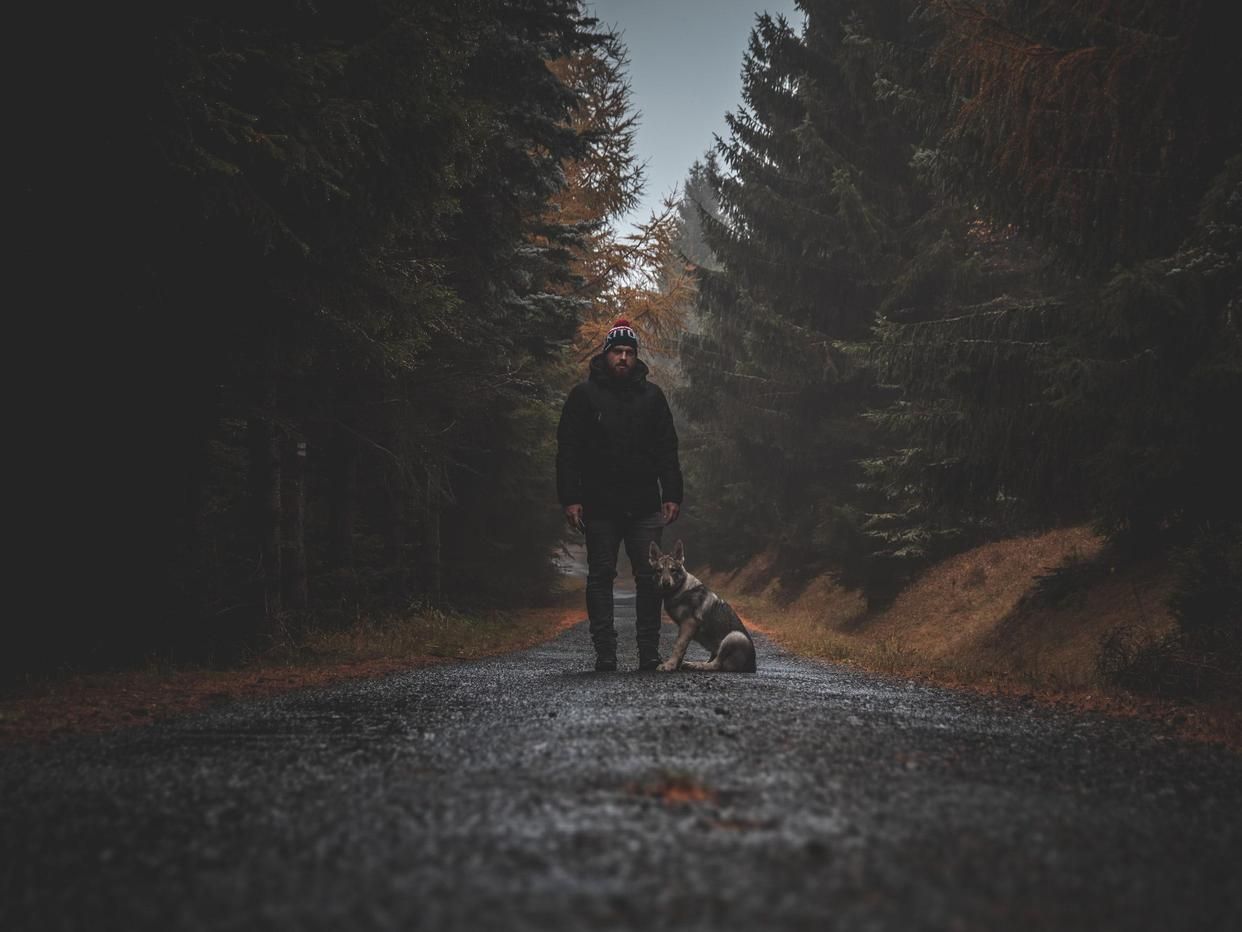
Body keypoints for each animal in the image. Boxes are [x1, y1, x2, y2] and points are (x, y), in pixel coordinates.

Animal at [650, 539, 755, 680]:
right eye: (659, 571)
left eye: (673, 570)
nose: (665, 583)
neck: (680, 590)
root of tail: (753, 666)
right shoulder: (685, 628)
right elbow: (682, 649)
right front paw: (676, 665)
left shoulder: (688, 623)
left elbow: (678, 646)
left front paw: (669, 665)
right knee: (713, 660)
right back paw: (691, 664)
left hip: (734, 636)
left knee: (716, 665)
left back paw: (698, 665)